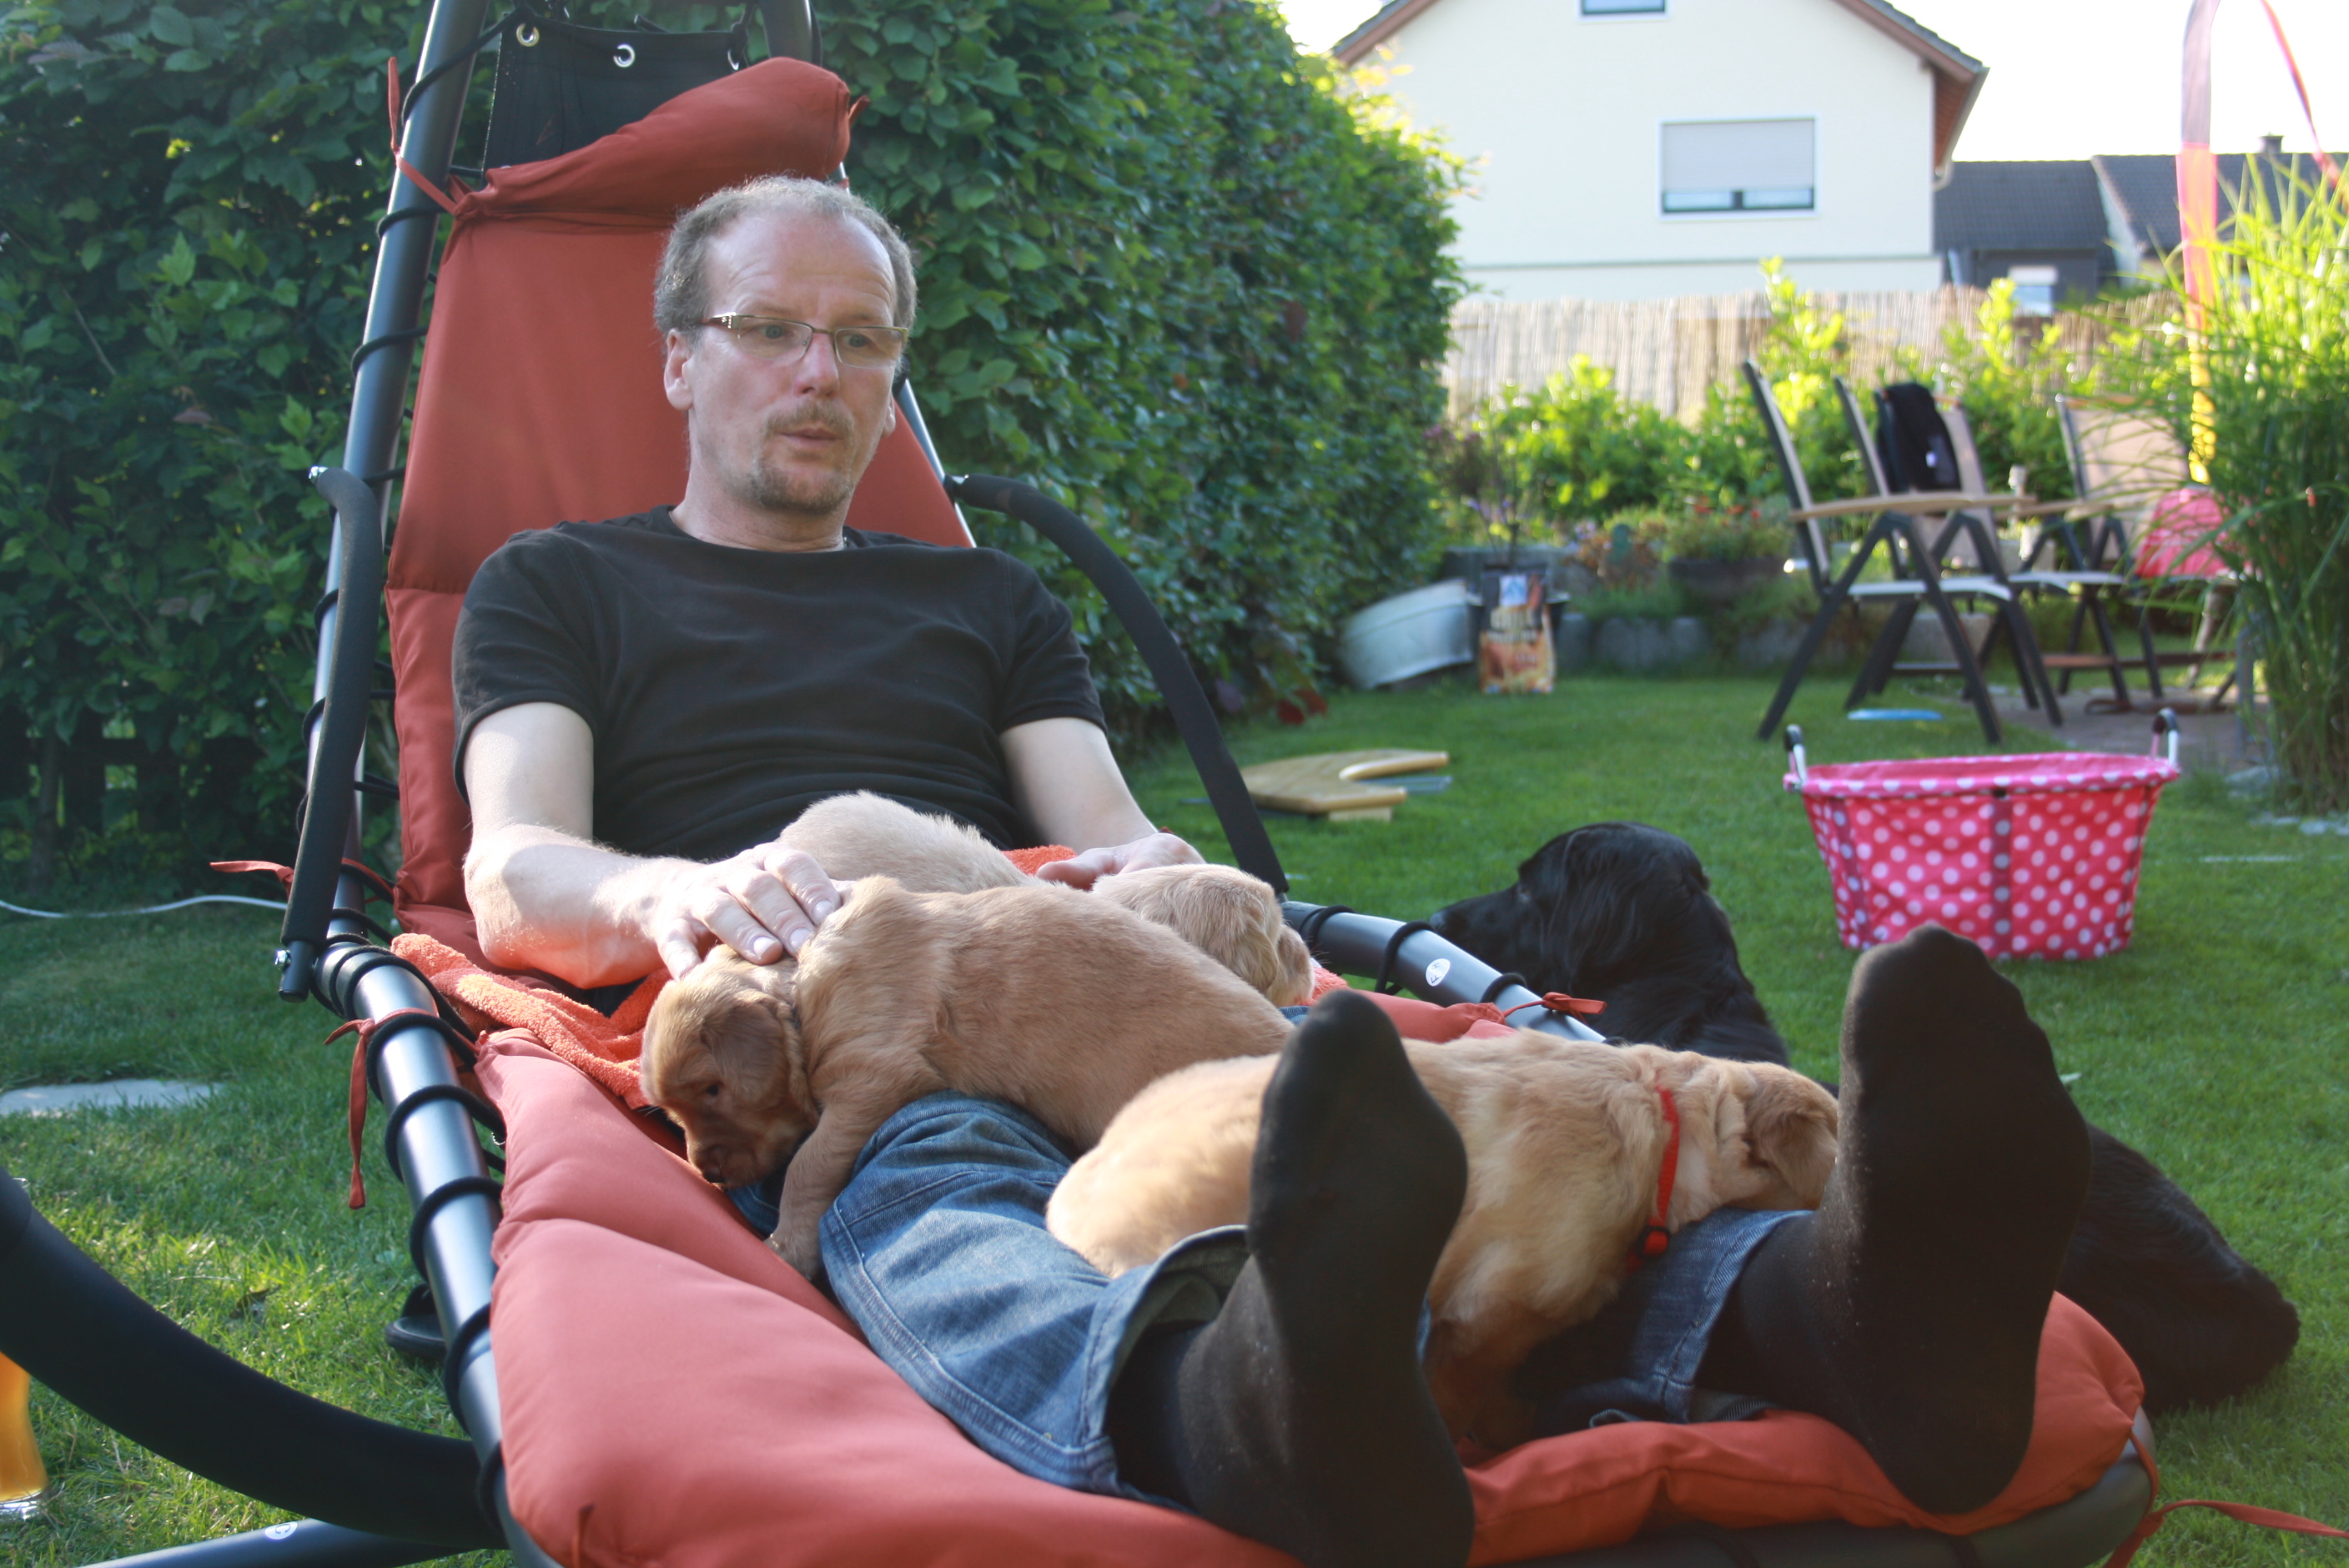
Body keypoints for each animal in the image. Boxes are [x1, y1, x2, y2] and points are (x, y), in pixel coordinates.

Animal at [641, 877, 1296, 1276]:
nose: (707, 1173)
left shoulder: (876, 1076)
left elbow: (808, 1165)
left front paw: (788, 1246)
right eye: (673, 1111)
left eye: (713, 1090)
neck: (801, 988)